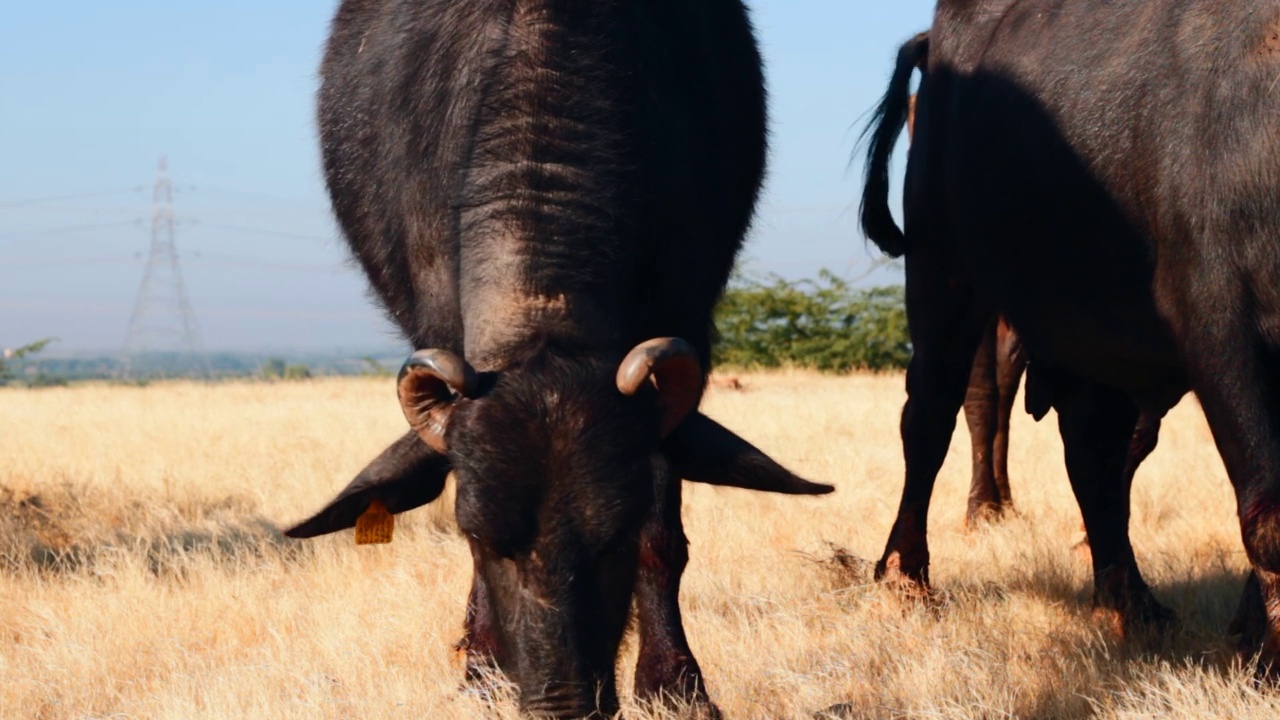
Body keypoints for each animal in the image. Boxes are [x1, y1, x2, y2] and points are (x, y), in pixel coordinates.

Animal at [280, 1, 829, 712]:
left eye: (616, 535)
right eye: (478, 536)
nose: (562, 700)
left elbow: (665, 535)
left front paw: (675, 684)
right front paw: (482, 670)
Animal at [860, 1, 1280, 671]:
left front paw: (1248, 633)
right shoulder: (1217, 322)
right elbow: (1267, 511)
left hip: (1093, 333)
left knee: (1093, 449)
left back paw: (1128, 602)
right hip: (944, 272)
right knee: (933, 413)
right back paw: (908, 575)